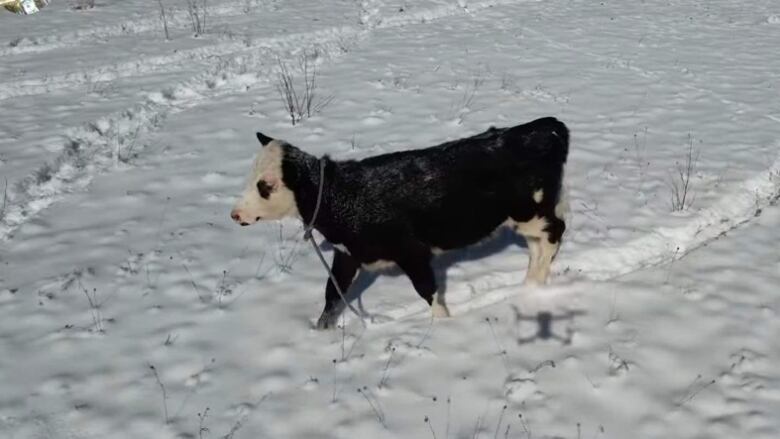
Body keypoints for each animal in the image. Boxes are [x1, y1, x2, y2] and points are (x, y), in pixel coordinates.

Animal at [229, 115, 568, 328]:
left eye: (266, 185)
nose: (235, 215)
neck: (340, 198)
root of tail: (544, 127)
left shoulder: (412, 251)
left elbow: (427, 290)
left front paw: (443, 325)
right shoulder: (346, 254)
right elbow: (332, 293)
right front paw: (321, 332)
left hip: (529, 211)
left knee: (555, 231)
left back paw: (535, 285)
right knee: (539, 243)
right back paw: (530, 283)